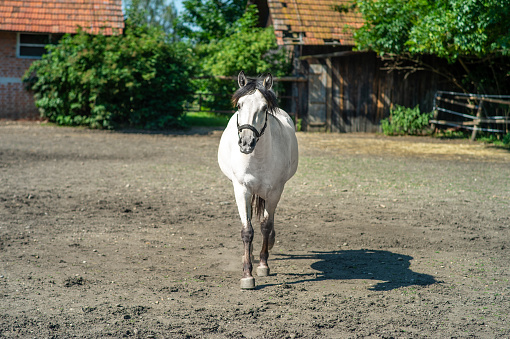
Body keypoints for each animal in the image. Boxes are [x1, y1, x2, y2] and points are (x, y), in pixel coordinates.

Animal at [216, 71, 298, 290]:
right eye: (239, 105)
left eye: (264, 108)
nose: (246, 143)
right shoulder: (241, 189)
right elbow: (247, 230)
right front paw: (247, 274)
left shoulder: (275, 191)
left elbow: (265, 226)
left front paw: (263, 265)